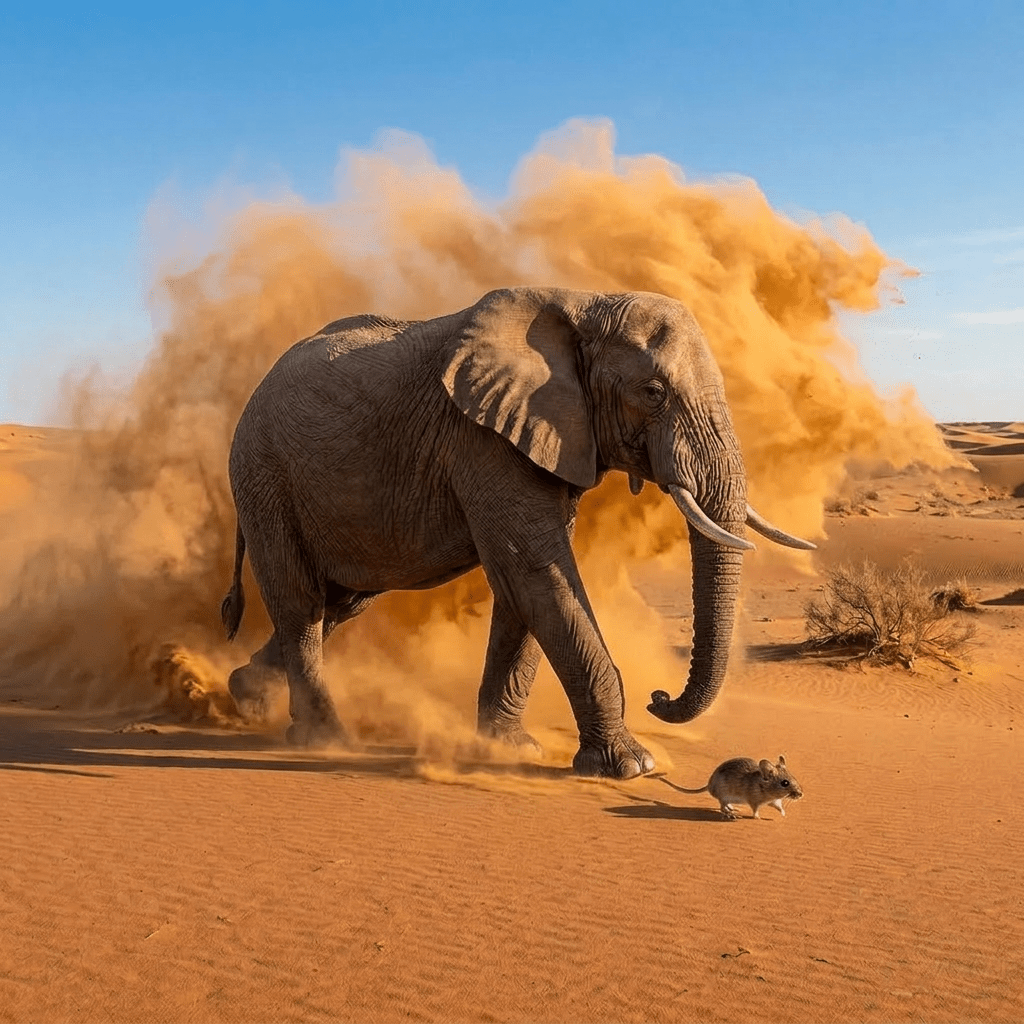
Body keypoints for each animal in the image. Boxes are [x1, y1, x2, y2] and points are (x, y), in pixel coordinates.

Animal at [220, 287, 814, 779]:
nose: (659, 697)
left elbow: (522, 586)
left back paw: (243, 693)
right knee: (299, 600)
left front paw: (506, 749)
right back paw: (324, 740)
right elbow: (536, 572)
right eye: (653, 390)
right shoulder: (483, 439)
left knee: (341, 601)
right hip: (262, 474)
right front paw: (631, 767)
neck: (583, 305)